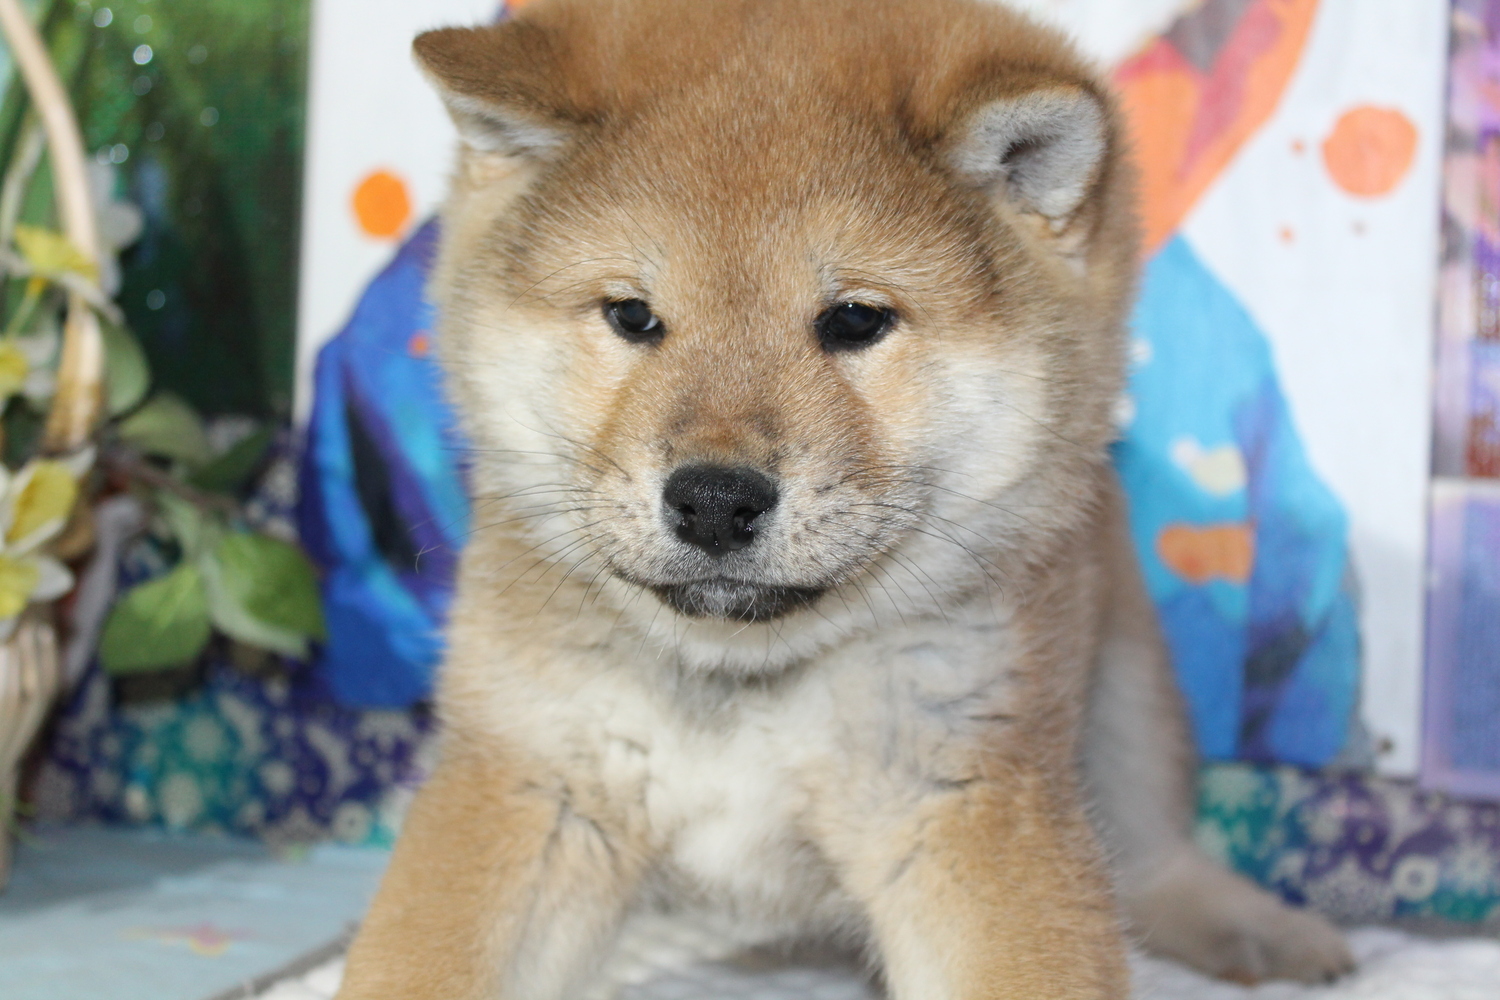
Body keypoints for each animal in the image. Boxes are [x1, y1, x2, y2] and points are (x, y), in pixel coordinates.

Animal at [335, 1, 1355, 996]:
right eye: (631, 315)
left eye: (855, 320)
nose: (714, 499)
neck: (746, 673)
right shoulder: (533, 781)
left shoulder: (962, 801)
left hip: (1122, 677)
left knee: (1147, 851)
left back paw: (1257, 928)